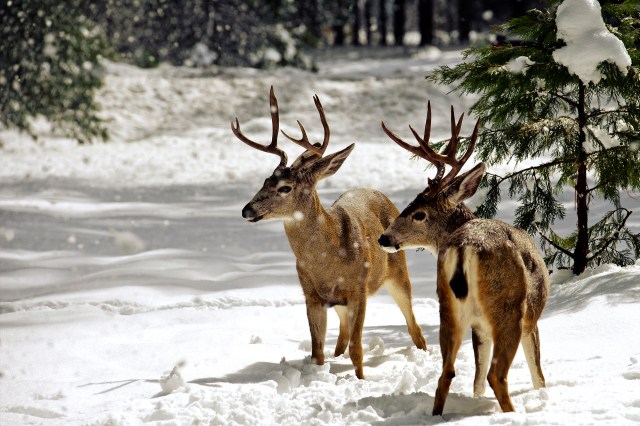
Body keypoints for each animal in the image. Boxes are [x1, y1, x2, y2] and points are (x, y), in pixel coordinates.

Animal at [232, 86, 428, 380]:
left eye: (285, 187)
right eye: (265, 181)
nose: (247, 209)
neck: (328, 261)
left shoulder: (359, 289)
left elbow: (358, 349)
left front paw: (360, 381)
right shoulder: (311, 295)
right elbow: (317, 353)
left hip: (397, 272)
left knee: (414, 328)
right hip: (339, 304)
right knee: (342, 338)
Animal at [380, 101, 552, 414]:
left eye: (418, 213)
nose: (383, 238)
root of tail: (466, 246)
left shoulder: (478, 327)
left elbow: (476, 382)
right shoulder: (532, 319)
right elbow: (538, 376)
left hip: (449, 308)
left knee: (446, 373)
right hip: (508, 309)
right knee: (497, 375)